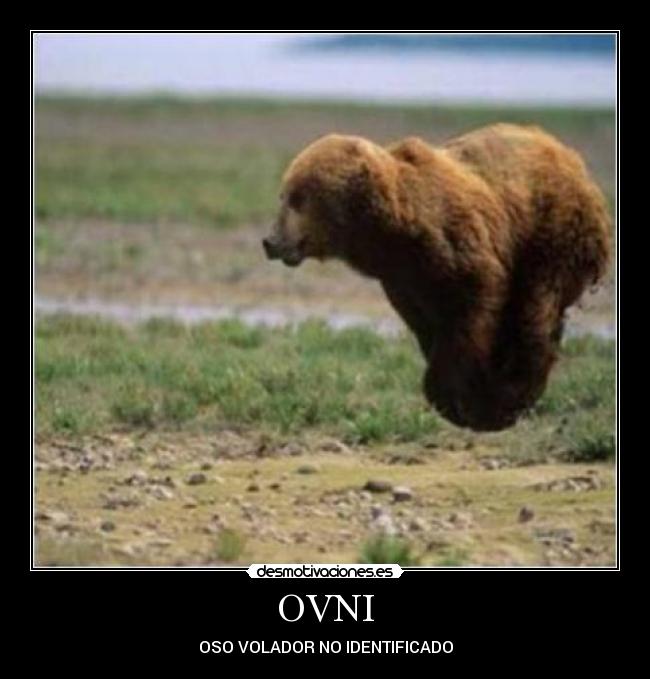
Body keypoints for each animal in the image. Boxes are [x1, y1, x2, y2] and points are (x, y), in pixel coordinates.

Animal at [262, 124, 612, 431]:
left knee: (535, 309)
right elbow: (428, 325)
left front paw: (465, 398)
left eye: (298, 198)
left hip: (552, 232)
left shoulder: (458, 251)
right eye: (283, 194)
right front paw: (465, 395)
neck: (393, 231)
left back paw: (516, 392)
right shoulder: (404, 280)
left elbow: (471, 312)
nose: (271, 241)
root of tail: (571, 157)